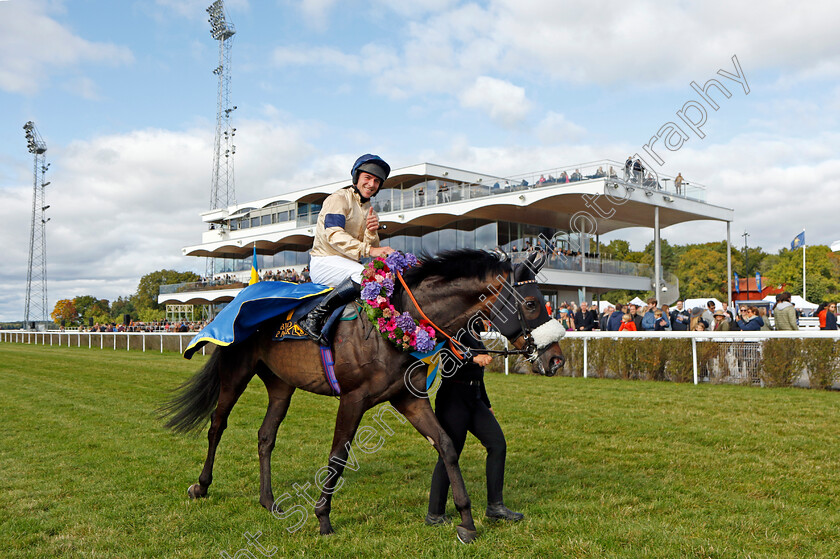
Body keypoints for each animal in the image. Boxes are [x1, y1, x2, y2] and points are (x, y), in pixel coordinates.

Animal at [159, 249, 564, 544]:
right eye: (530, 303)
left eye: (547, 300)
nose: (557, 359)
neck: (394, 320)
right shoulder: (352, 399)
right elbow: (338, 457)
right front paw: (322, 518)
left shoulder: (408, 398)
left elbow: (447, 446)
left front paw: (465, 519)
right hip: (235, 372)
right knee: (217, 425)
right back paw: (202, 485)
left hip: (281, 385)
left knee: (265, 437)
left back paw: (269, 501)